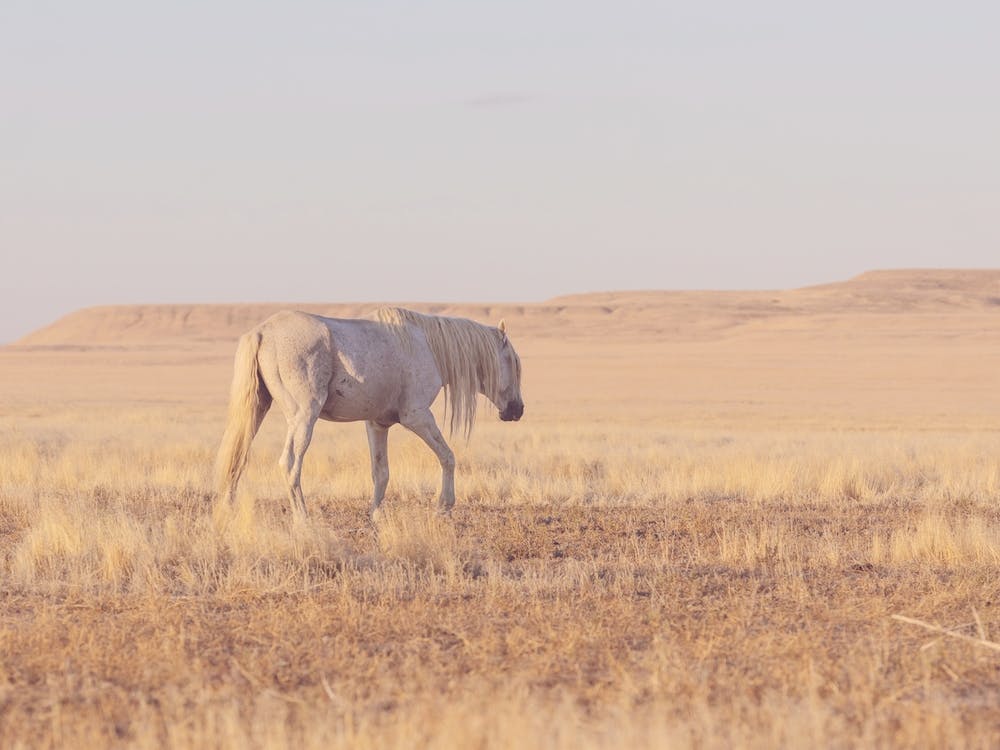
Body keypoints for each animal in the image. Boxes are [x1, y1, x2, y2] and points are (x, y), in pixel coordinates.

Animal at [214, 307, 524, 518]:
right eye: (512, 361)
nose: (517, 410)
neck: (428, 347)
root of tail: (262, 332)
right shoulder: (417, 417)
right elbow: (447, 457)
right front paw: (443, 507)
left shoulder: (377, 424)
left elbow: (380, 472)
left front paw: (375, 514)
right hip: (303, 418)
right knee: (289, 464)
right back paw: (303, 520)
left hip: (257, 410)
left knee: (237, 457)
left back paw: (228, 510)